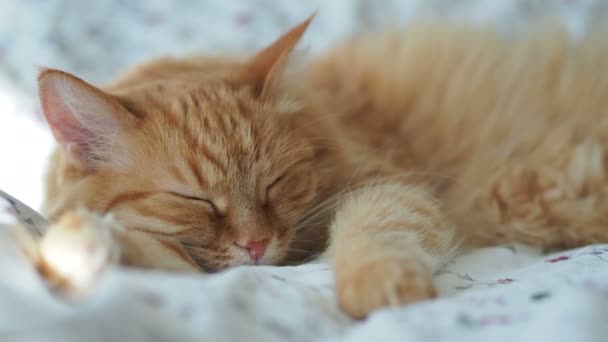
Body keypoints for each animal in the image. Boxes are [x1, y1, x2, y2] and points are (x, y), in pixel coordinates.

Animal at [17, 16, 608, 318]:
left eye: (275, 183)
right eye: (195, 201)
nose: (256, 245)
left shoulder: (389, 185)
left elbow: (373, 231)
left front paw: (381, 285)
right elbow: (154, 253)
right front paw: (74, 250)